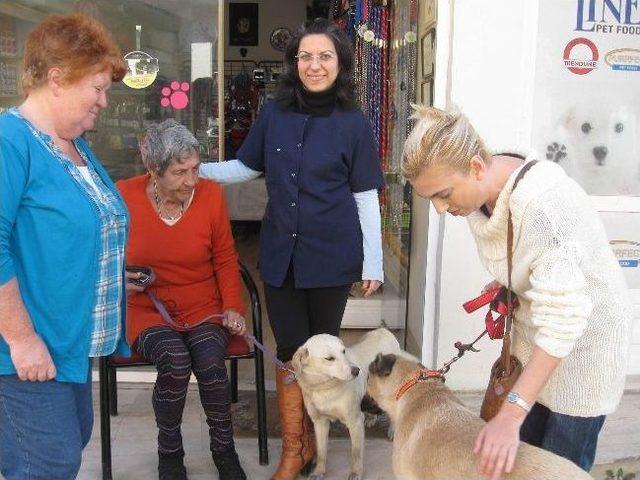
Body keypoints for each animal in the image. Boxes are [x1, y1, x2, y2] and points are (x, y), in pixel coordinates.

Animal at [294, 328, 402, 480]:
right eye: (329, 358)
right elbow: (321, 452)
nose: (356, 371)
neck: (325, 388)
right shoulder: (320, 422)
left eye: (343, 351)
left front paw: (356, 473)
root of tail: (383, 330)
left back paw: (393, 429)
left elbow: (356, 452)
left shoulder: (354, 421)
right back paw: (371, 418)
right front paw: (318, 472)